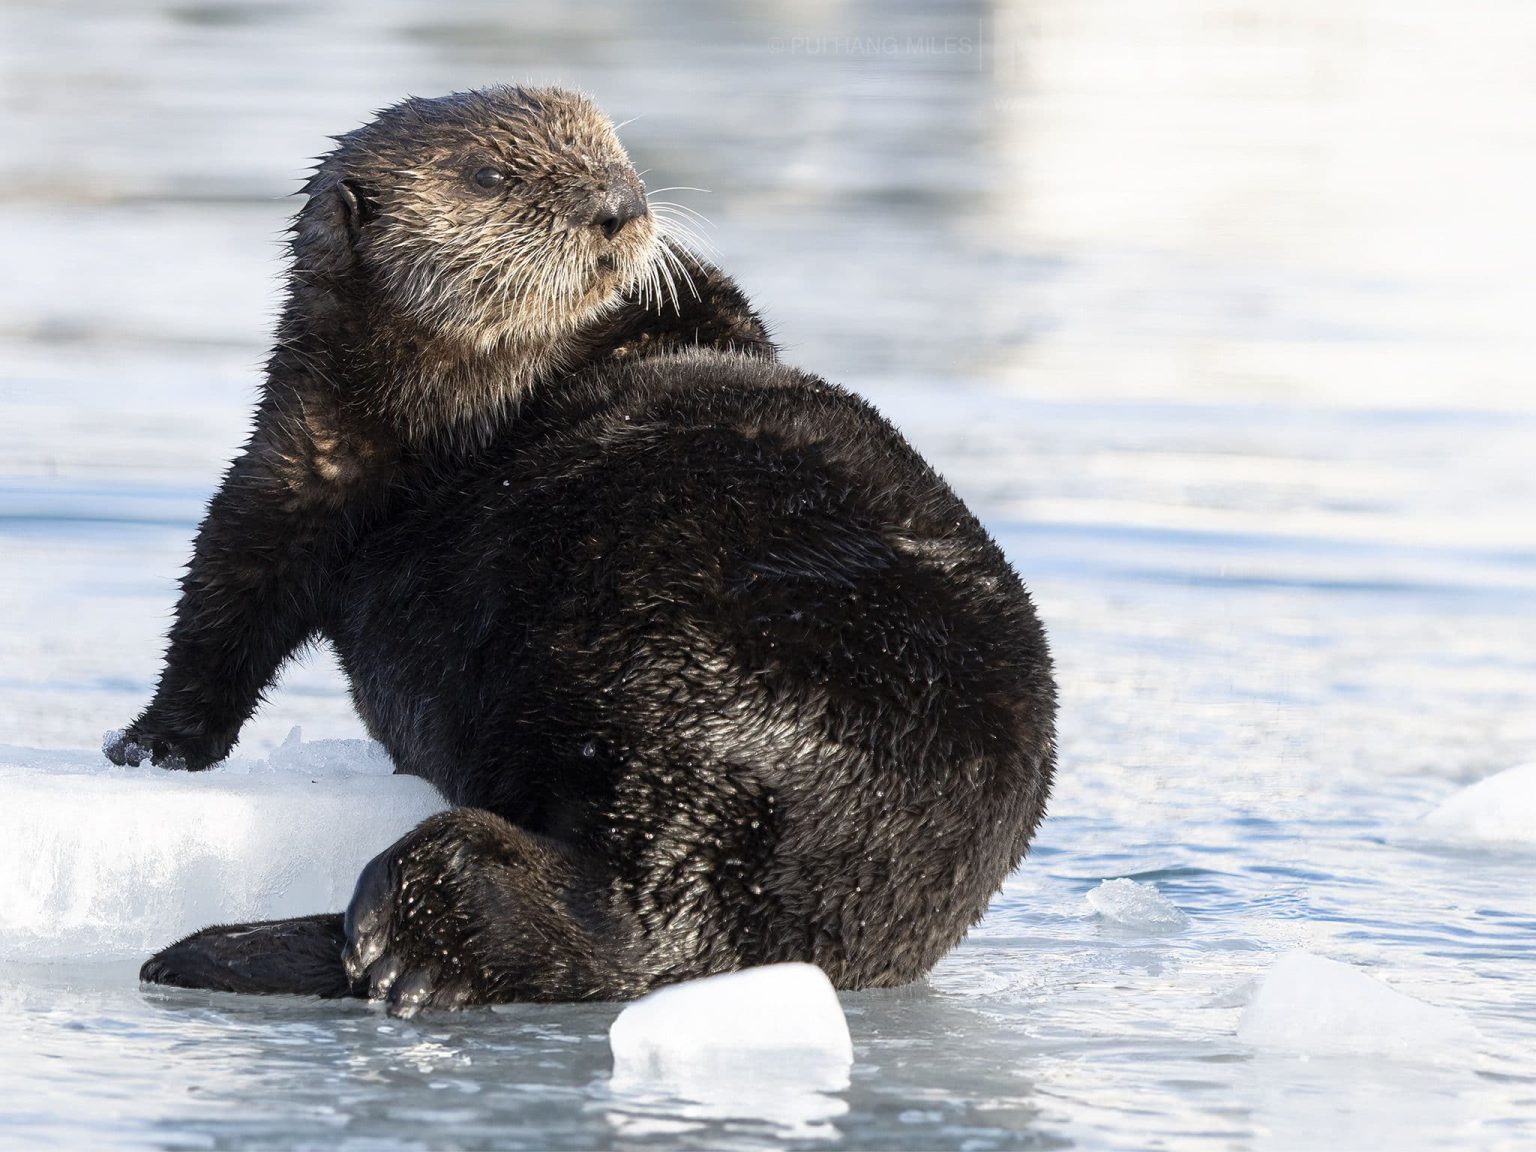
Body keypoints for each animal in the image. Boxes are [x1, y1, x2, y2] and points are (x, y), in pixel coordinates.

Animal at [109, 86, 1057, 1016]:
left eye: (616, 153)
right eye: (489, 176)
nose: (619, 206)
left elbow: (233, 585)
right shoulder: (309, 451)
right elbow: (233, 589)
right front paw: (148, 749)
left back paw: (397, 944)